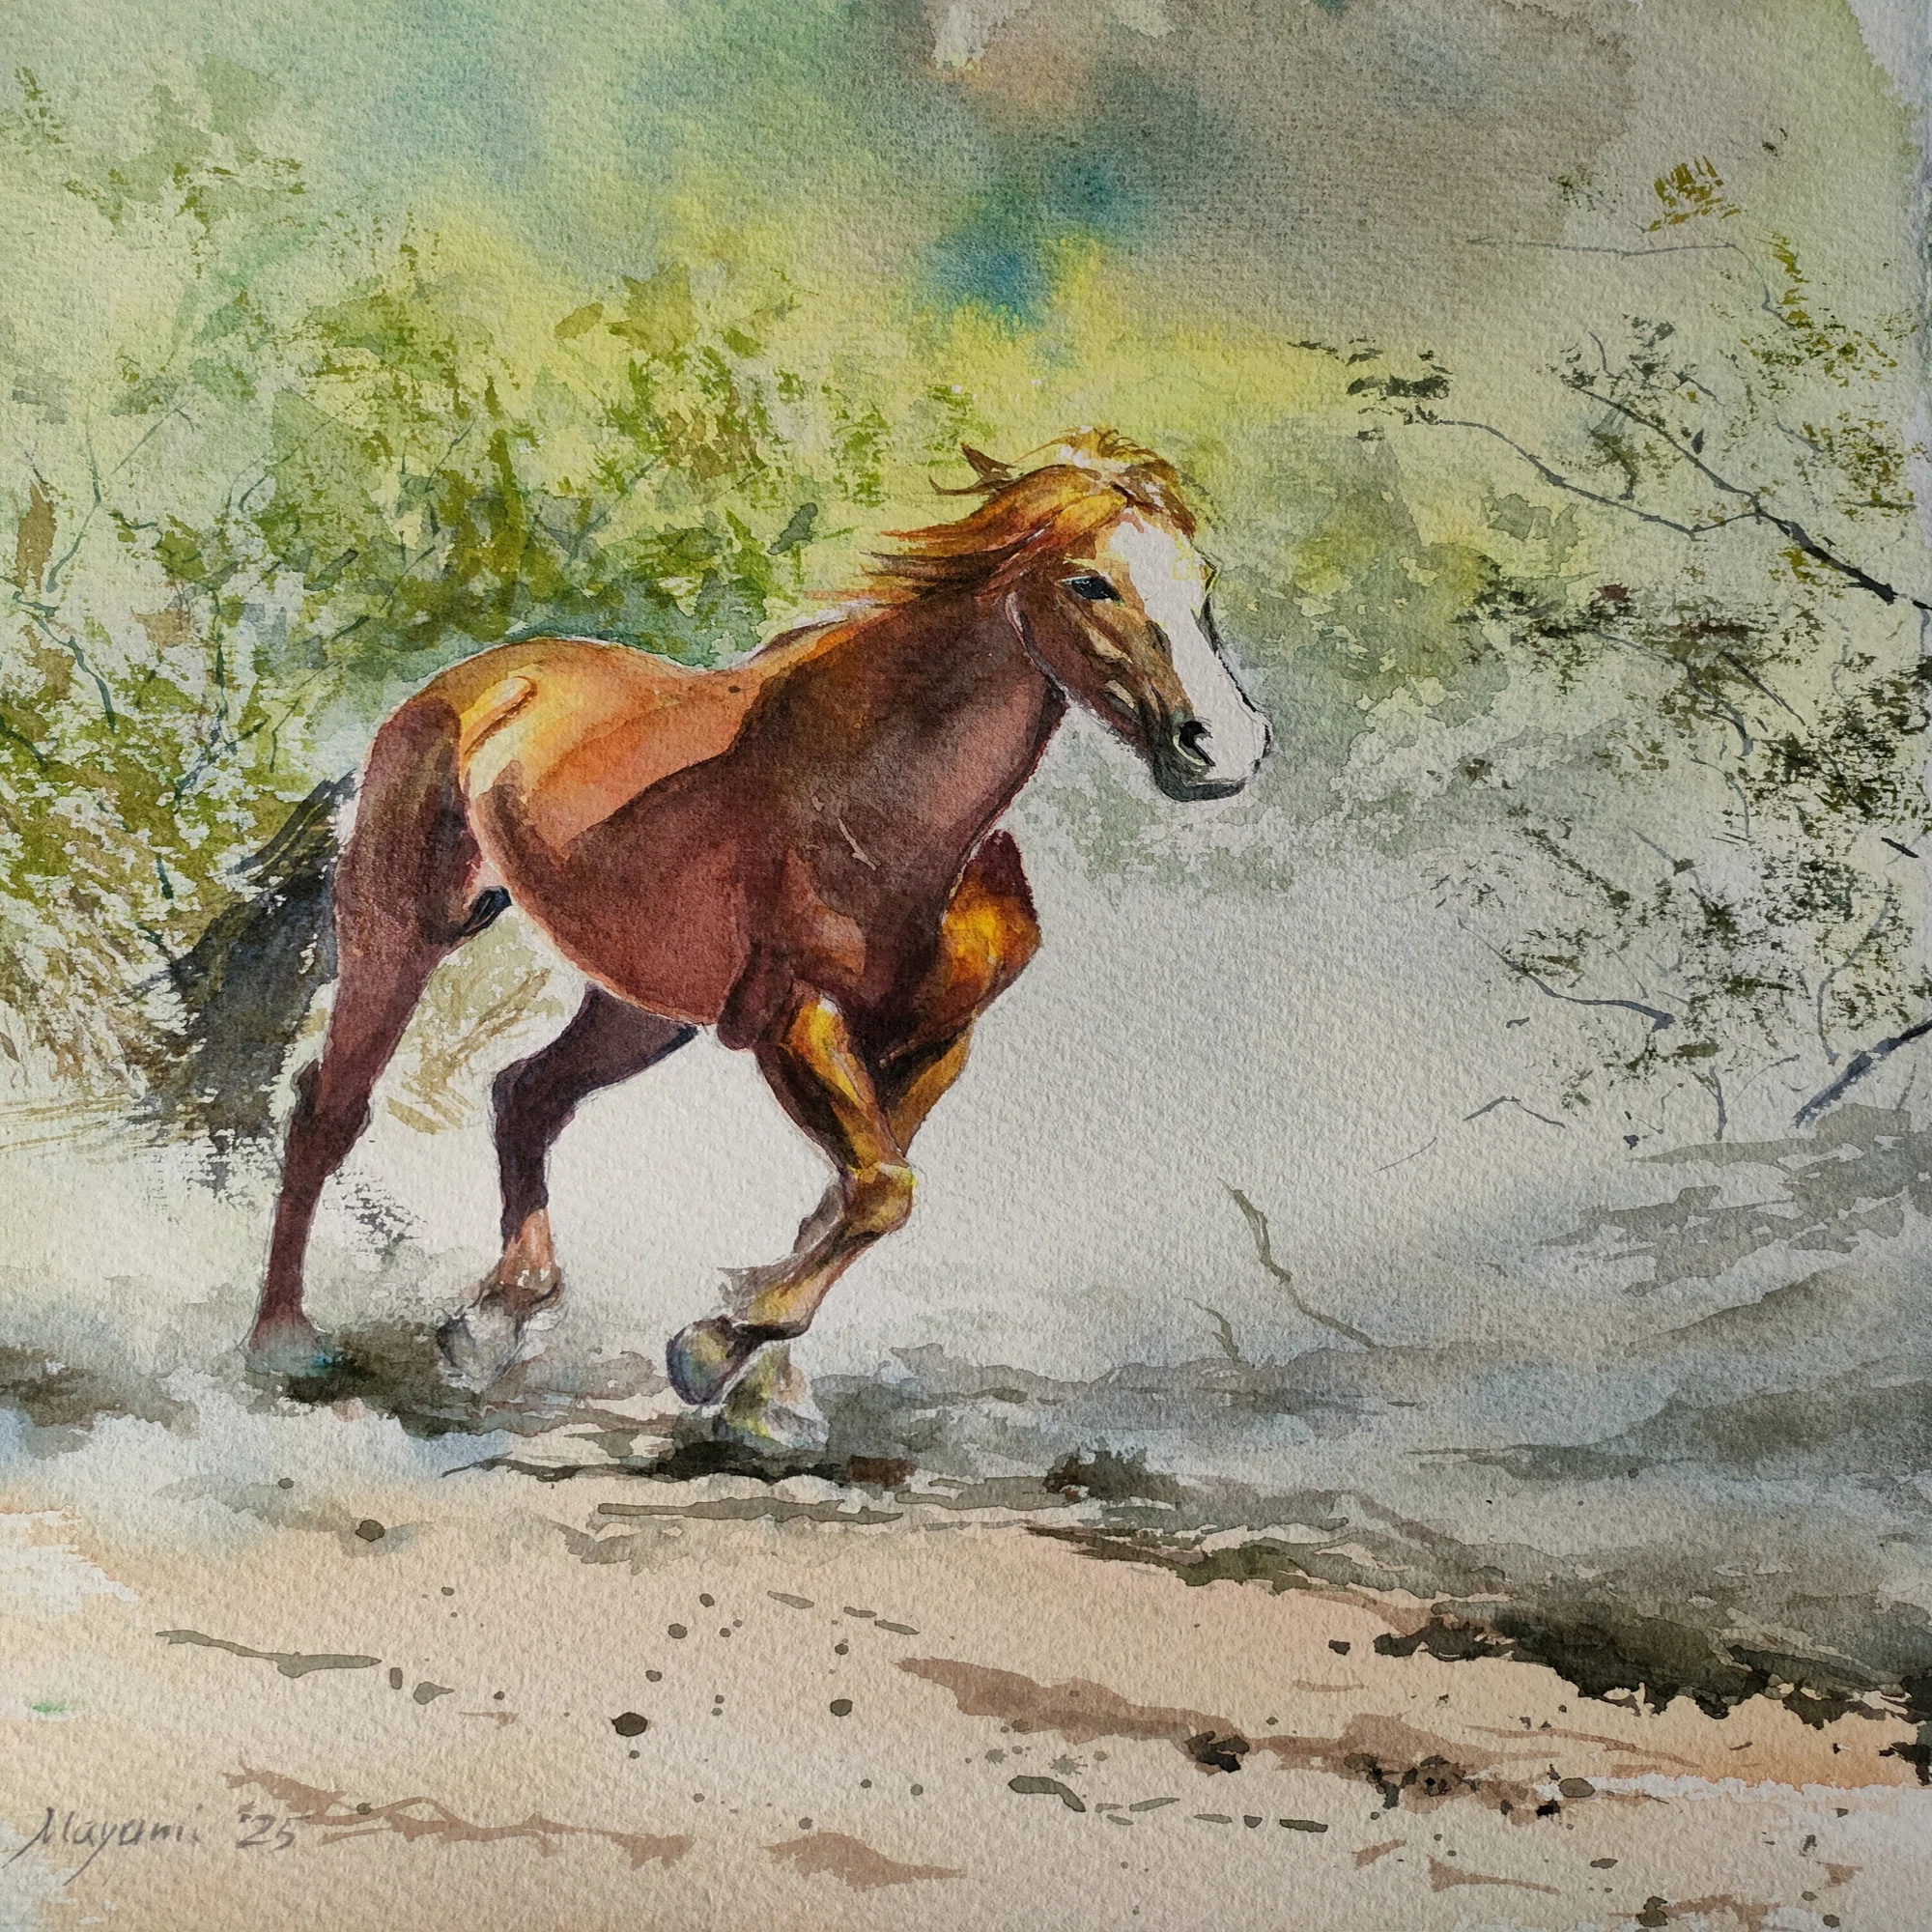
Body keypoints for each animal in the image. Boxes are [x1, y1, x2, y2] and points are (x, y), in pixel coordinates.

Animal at [245, 429, 1270, 1449]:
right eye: (1090, 582)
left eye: (1203, 579)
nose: (1223, 747)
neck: (887, 805)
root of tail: (478, 682)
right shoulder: (794, 1022)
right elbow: (881, 1189)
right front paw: (711, 1350)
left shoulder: (932, 1042)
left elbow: (849, 1199)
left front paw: (766, 1396)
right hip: (400, 932)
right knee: (329, 1110)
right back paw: (284, 1343)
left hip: (642, 1005)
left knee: (526, 1095)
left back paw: (491, 1324)